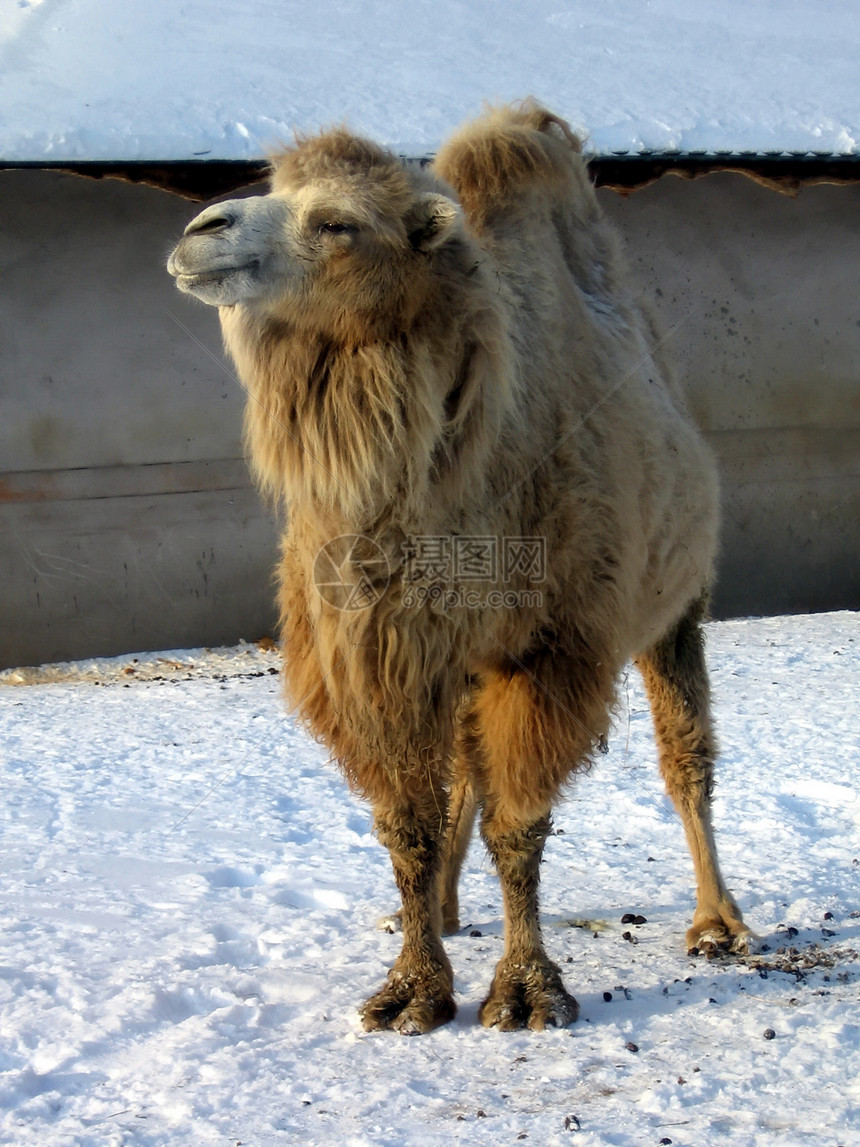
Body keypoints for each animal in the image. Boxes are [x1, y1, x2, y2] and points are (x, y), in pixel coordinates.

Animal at [169, 98, 752, 1036]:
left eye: (337, 222)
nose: (200, 231)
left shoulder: (549, 647)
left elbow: (520, 824)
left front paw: (525, 991)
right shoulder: (386, 652)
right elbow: (410, 822)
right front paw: (412, 988)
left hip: (675, 604)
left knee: (684, 757)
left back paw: (718, 922)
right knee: (463, 787)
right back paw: (441, 912)